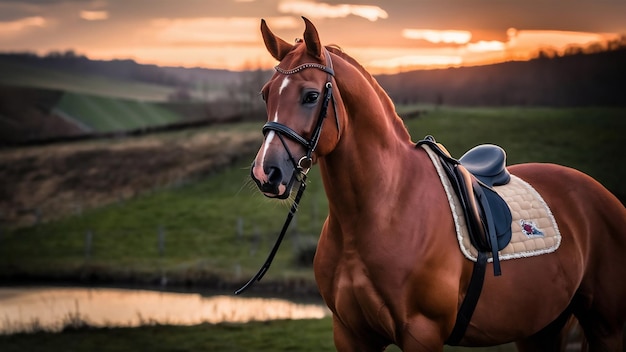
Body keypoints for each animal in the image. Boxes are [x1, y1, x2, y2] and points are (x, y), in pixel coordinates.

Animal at [247, 17, 624, 350]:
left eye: (311, 96)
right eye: (266, 94)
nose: (267, 173)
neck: (383, 209)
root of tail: (602, 196)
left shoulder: (421, 333)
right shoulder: (351, 335)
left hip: (607, 328)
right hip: (540, 329)